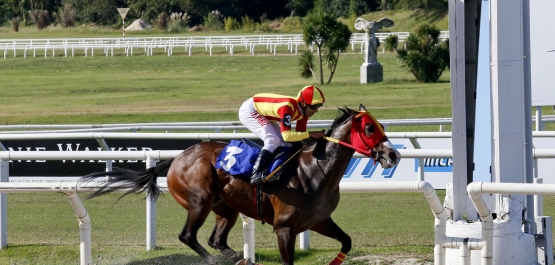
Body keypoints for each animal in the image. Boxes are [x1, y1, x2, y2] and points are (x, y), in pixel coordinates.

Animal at [80, 104, 400, 262]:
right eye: (369, 128)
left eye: (381, 125)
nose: (393, 154)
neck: (315, 171)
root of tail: (178, 158)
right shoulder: (284, 228)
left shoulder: (320, 220)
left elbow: (347, 241)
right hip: (199, 202)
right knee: (189, 237)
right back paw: (213, 260)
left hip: (226, 208)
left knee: (216, 240)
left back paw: (234, 257)